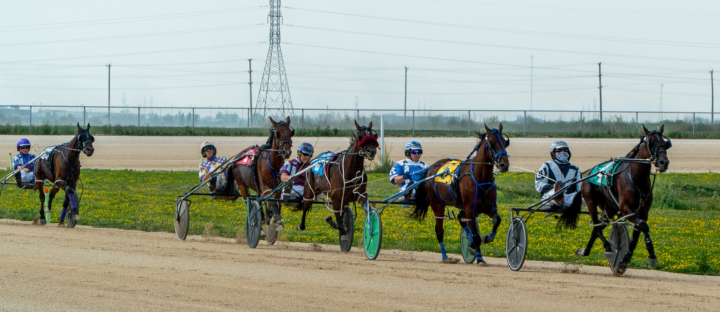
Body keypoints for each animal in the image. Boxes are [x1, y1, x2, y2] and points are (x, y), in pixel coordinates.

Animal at [410, 123, 512, 264]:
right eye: (491, 143)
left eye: (505, 142)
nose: (504, 165)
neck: (479, 177)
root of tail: (431, 168)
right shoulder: (470, 209)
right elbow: (476, 235)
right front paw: (479, 257)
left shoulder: (488, 207)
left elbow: (497, 220)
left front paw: (487, 238)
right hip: (437, 205)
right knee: (439, 231)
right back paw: (445, 257)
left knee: (460, 219)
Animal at [564, 124, 668, 272]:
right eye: (651, 142)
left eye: (665, 142)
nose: (663, 162)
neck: (636, 178)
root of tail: (587, 173)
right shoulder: (625, 209)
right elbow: (643, 226)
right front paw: (652, 256)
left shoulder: (643, 212)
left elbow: (637, 234)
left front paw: (624, 260)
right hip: (590, 201)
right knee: (596, 227)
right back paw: (608, 247)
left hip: (609, 208)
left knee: (598, 227)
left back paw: (585, 251)